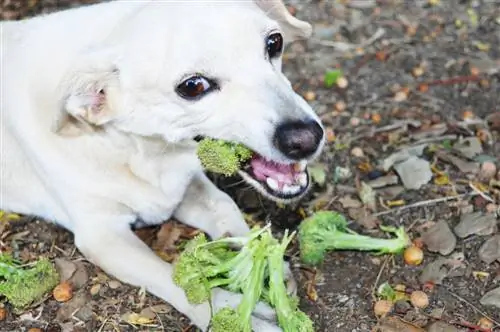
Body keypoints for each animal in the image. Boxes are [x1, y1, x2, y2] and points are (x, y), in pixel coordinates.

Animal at [0, 1, 324, 330]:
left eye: (274, 43)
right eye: (193, 86)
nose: (307, 139)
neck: (140, 154)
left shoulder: (186, 187)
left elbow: (226, 208)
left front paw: (263, 261)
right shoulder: (102, 236)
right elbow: (175, 280)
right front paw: (234, 312)